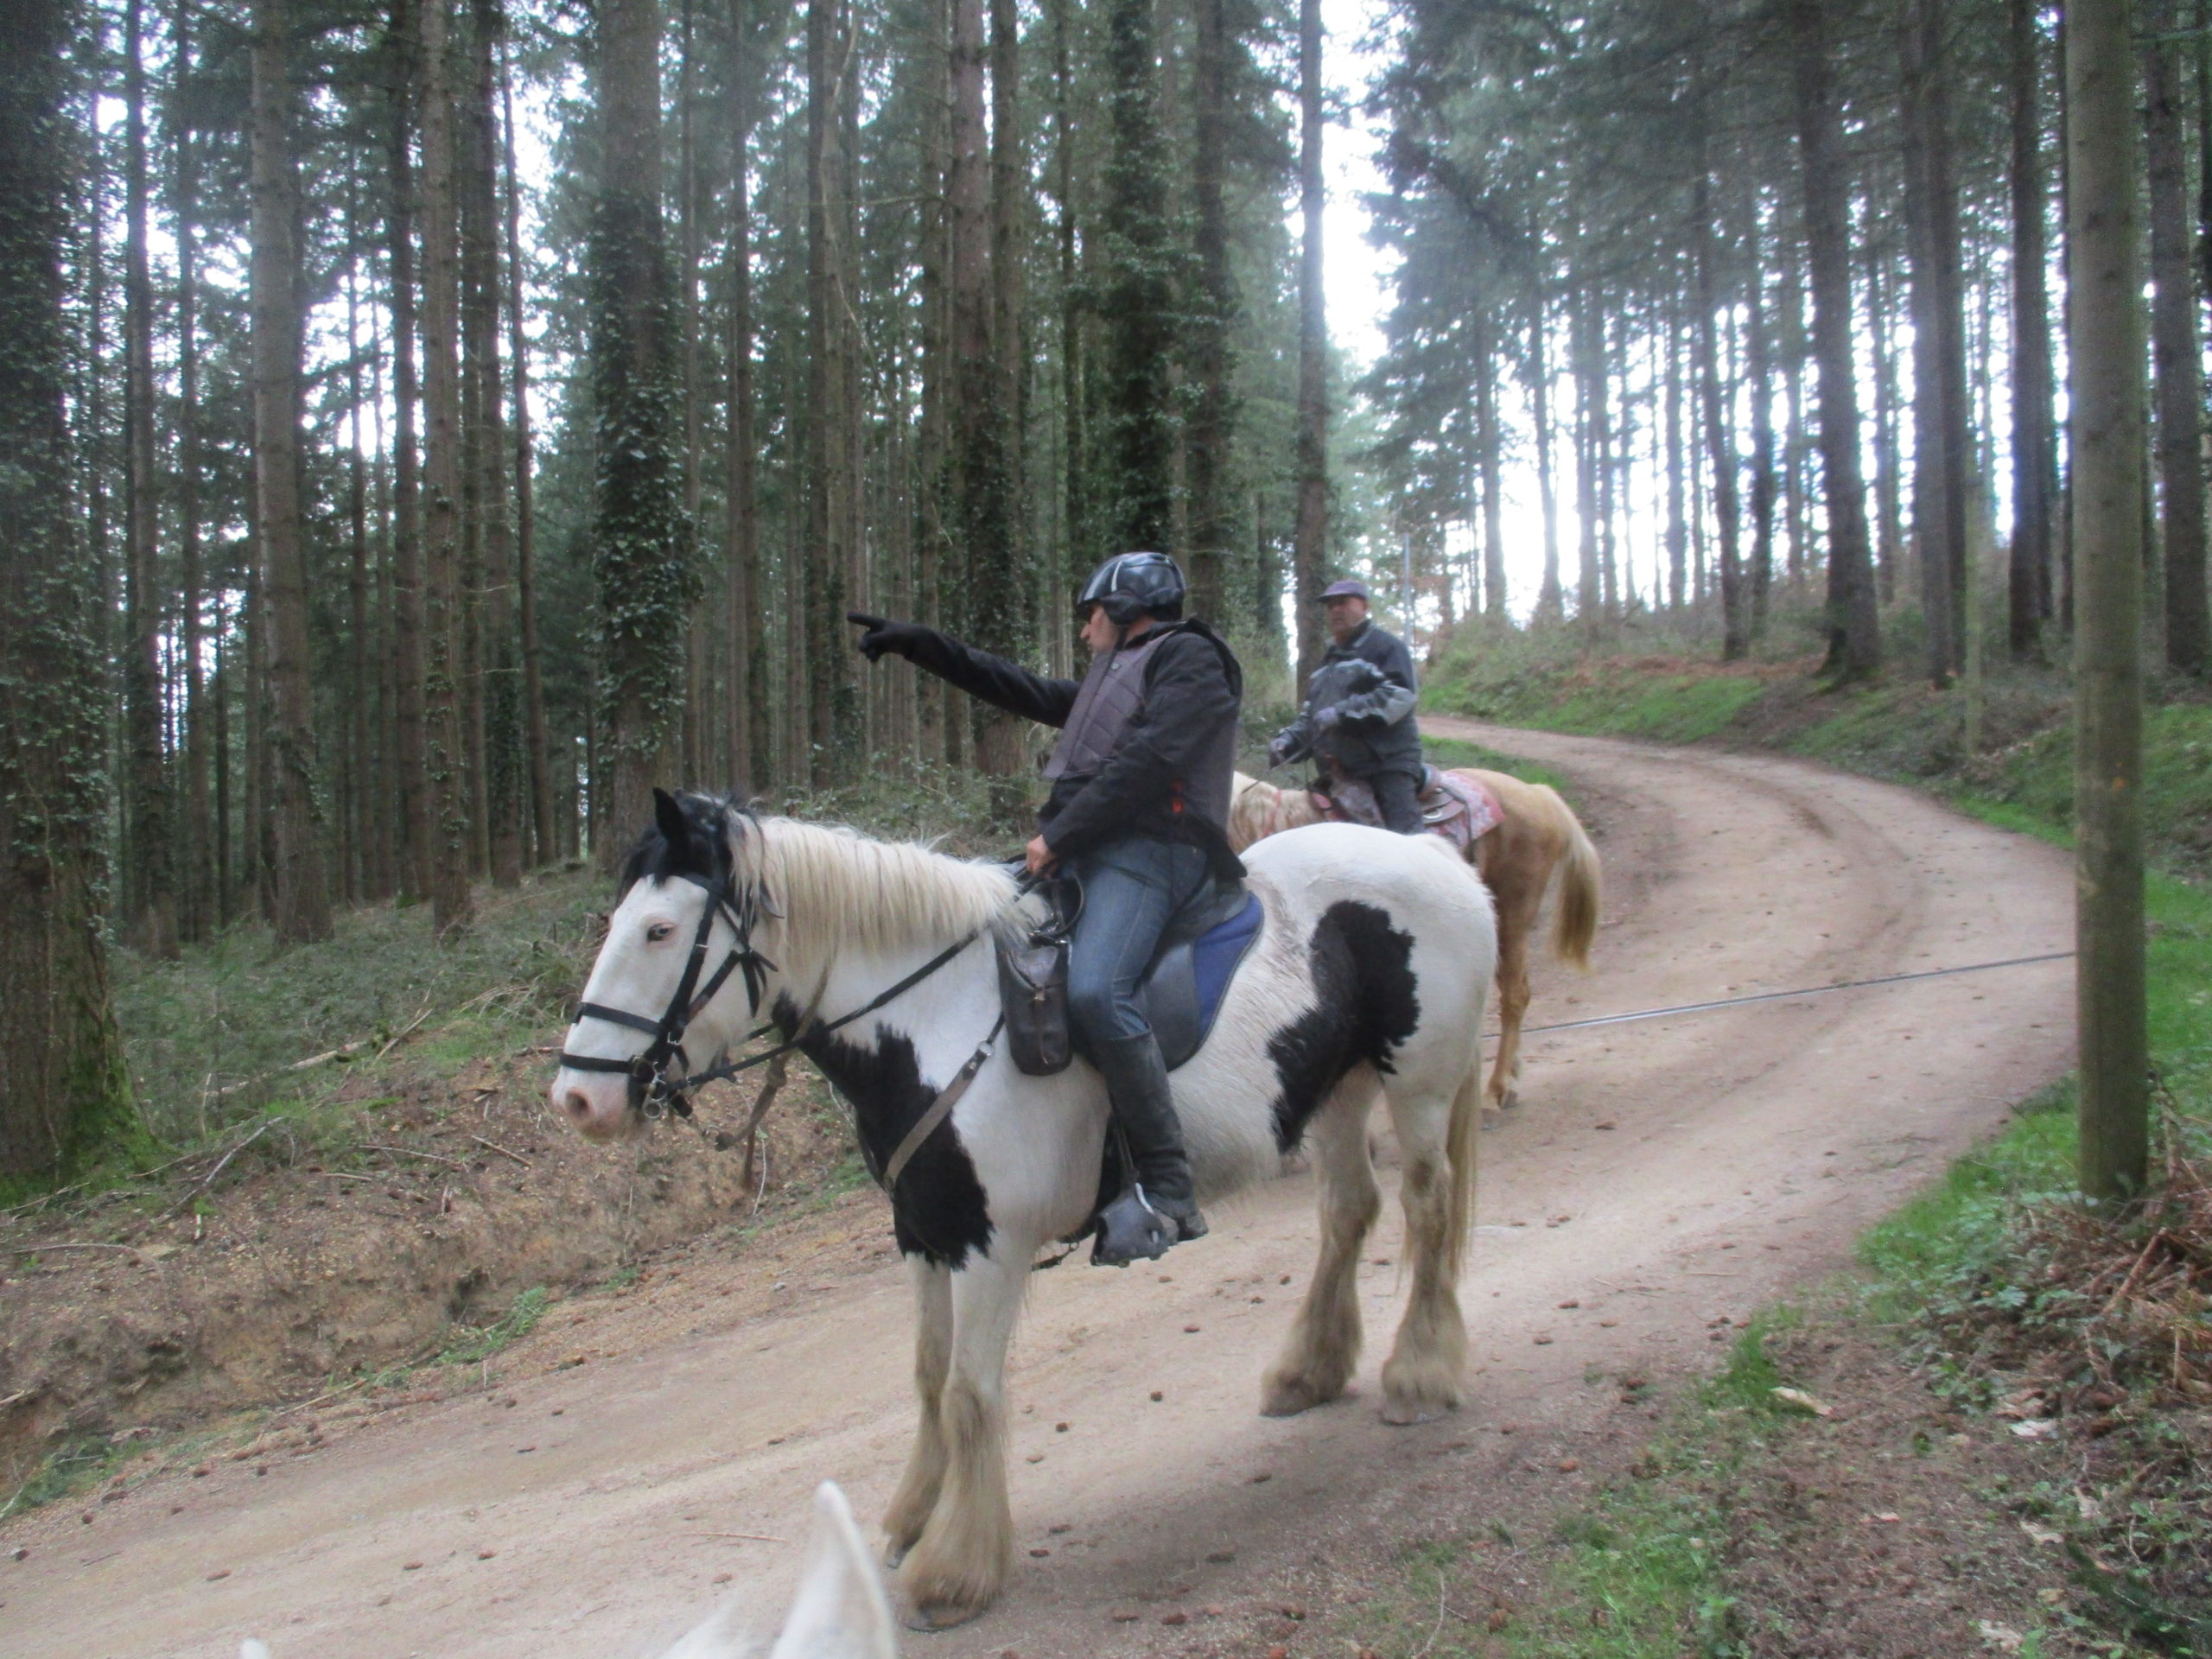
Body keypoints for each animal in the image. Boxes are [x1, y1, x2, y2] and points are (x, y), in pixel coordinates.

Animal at [548, 787, 1503, 1628]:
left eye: (660, 930)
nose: (578, 1101)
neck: (932, 1022)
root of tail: (1428, 855)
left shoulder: (988, 1245)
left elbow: (970, 1393)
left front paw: (953, 1572)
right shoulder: (923, 1235)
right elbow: (928, 1377)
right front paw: (913, 1516)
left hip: (1416, 1086)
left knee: (1426, 1210)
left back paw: (1419, 1374)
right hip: (1338, 1090)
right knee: (1349, 1213)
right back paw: (1308, 1371)